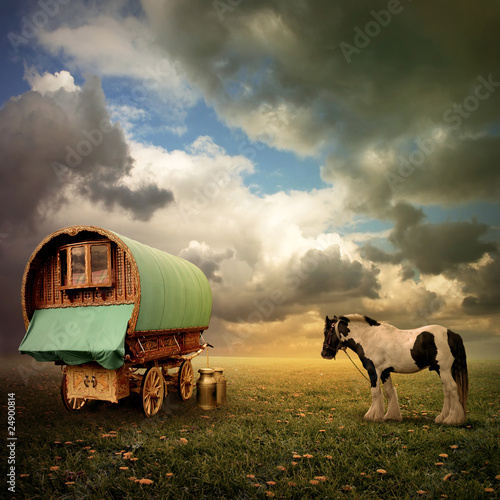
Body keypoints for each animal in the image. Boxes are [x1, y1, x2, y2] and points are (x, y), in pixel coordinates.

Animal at [320, 314, 468, 424]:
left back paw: (452, 420)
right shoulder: (385, 372)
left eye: (327, 332)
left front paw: (372, 416)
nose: (324, 354)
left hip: (443, 370)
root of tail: (452, 334)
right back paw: (441, 418)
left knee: (452, 389)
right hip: (441, 371)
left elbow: (375, 392)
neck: (367, 336)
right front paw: (391, 416)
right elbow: (389, 392)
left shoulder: (373, 370)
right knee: (447, 392)